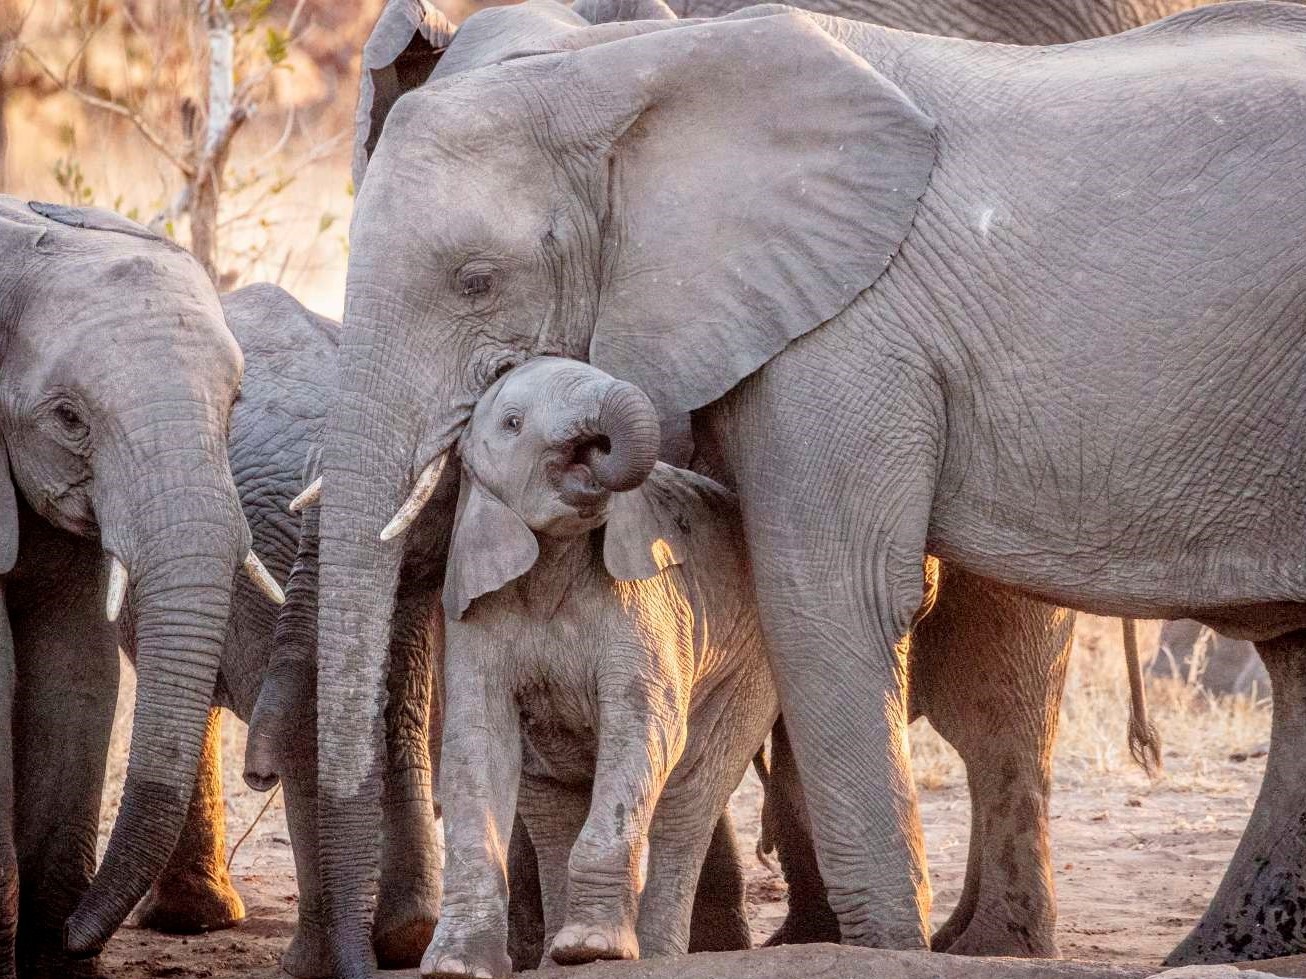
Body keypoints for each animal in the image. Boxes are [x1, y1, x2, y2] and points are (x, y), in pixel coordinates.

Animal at [428, 357, 773, 979]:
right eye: (512, 422)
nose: (597, 446)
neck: (554, 563)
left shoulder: (648, 602)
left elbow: (643, 729)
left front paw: (597, 948)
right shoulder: (469, 614)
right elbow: (478, 744)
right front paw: (456, 967)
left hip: (749, 665)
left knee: (691, 796)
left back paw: (645, 955)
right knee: (551, 806)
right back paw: (555, 961)